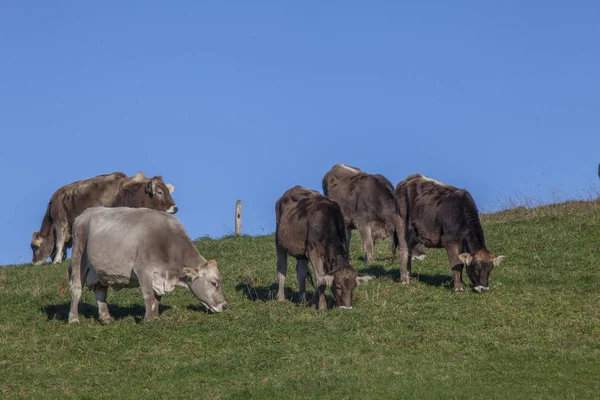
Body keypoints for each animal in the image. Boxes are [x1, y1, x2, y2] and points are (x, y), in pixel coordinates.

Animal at [31, 171, 176, 268]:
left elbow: (59, 241)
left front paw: (56, 260)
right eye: (160, 192)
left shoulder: (60, 219)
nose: (34, 262)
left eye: (34, 247)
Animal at [65, 206, 225, 324]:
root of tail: (86, 212)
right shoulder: (143, 270)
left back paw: (106, 318)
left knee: (100, 291)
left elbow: (157, 298)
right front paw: (148, 319)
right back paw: (73, 319)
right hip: (78, 256)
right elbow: (148, 296)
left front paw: (155, 316)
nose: (224, 305)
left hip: (100, 270)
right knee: (76, 288)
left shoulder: (159, 277)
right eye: (214, 283)